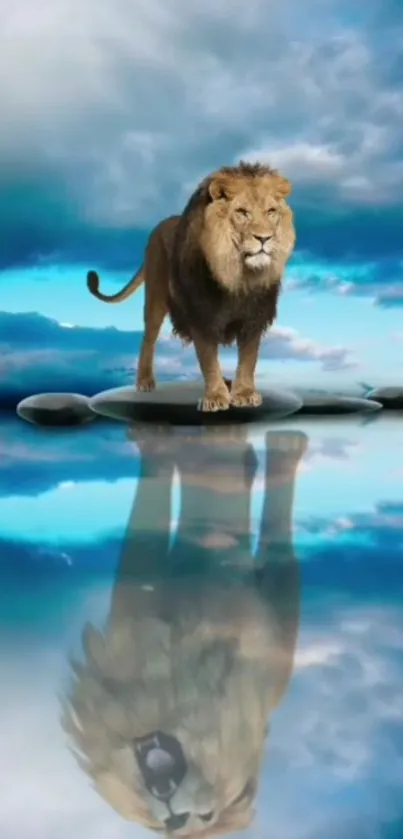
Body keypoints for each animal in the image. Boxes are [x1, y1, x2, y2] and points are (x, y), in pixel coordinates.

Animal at [60, 430, 306, 836]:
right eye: (178, 824)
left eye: (205, 817)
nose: (176, 813)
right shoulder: (132, 610)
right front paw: (157, 448)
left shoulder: (266, 646)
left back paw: (282, 448)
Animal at [87, 161, 296, 410]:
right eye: (242, 212)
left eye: (271, 212)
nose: (264, 238)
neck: (237, 276)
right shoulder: (200, 313)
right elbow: (208, 358)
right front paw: (216, 398)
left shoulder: (254, 316)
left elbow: (248, 358)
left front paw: (244, 393)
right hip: (155, 298)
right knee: (148, 338)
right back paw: (145, 381)